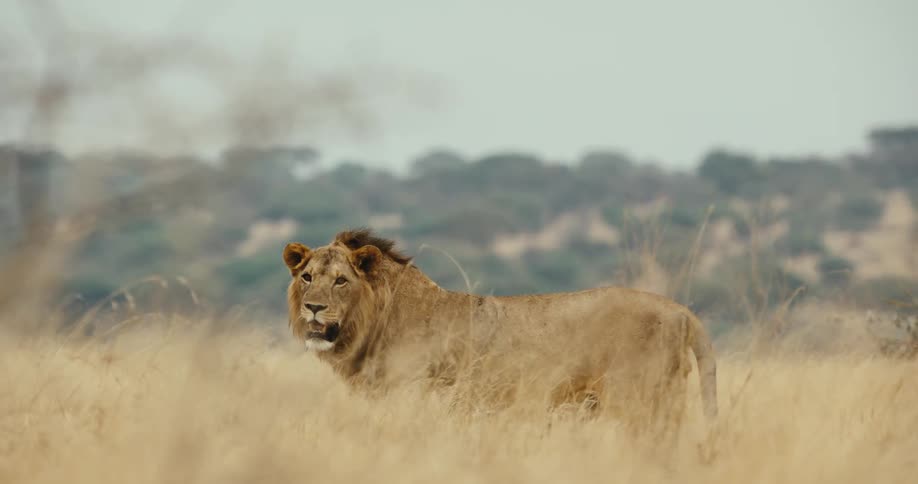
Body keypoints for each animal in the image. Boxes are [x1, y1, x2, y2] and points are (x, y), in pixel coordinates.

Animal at [283, 228, 717, 429]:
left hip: (639, 400)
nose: (314, 308)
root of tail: (680, 310)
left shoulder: (417, 397)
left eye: (341, 280)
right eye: (307, 277)